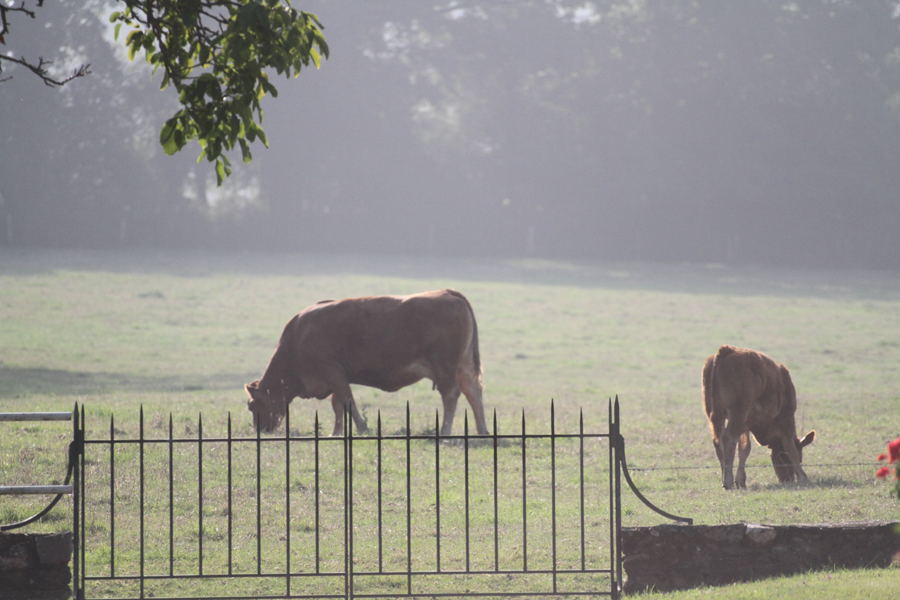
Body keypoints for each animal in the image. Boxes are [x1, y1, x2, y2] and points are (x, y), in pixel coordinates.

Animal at [243, 290, 488, 436]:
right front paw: (336, 432)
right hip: (464, 366)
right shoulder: (335, 376)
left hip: (445, 367)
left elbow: (347, 401)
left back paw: (445, 431)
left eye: (252, 406)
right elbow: (338, 404)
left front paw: (361, 428)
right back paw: (482, 430)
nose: (258, 430)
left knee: (451, 395)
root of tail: (446, 293)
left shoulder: (332, 371)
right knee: (474, 393)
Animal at [704, 344, 816, 490]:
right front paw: (803, 477)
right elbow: (790, 448)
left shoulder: (745, 424)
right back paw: (728, 481)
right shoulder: (787, 419)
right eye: (801, 456)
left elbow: (745, 448)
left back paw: (725, 478)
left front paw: (741, 481)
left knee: (718, 441)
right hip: (737, 413)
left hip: (716, 415)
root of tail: (727, 350)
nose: (787, 479)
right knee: (728, 438)